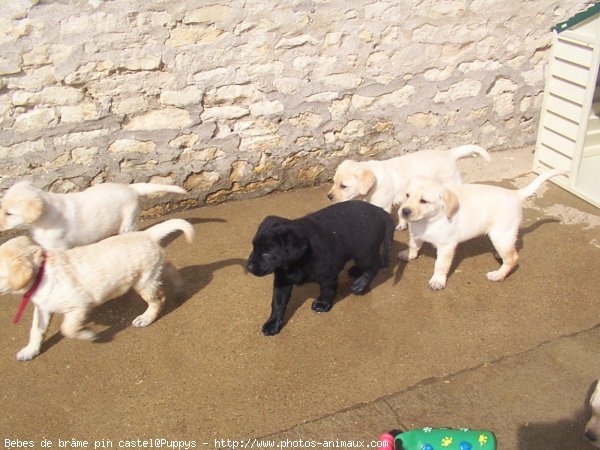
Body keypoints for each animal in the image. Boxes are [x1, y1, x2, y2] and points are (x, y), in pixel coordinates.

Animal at [0, 220, 192, 360]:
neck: (41, 271)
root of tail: (147, 234)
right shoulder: (43, 308)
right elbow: (36, 330)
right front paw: (30, 351)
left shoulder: (78, 306)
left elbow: (67, 328)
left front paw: (88, 334)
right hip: (153, 271)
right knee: (169, 267)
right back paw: (180, 286)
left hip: (144, 281)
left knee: (158, 299)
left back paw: (145, 318)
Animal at [246, 200, 396, 334]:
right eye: (254, 246)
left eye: (267, 252)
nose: (249, 267)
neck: (297, 262)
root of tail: (381, 211)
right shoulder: (282, 280)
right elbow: (278, 302)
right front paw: (273, 323)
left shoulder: (328, 274)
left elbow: (327, 290)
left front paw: (322, 304)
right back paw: (356, 271)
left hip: (364, 252)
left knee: (374, 265)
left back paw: (359, 285)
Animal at [400, 168, 564, 288]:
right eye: (407, 195)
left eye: (424, 201)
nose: (404, 211)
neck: (427, 221)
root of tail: (515, 194)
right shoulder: (415, 234)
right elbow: (413, 245)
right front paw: (408, 254)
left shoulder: (446, 246)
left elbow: (440, 264)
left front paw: (437, 280)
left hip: (501, 235)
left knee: (513, 258)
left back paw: (498, 275)